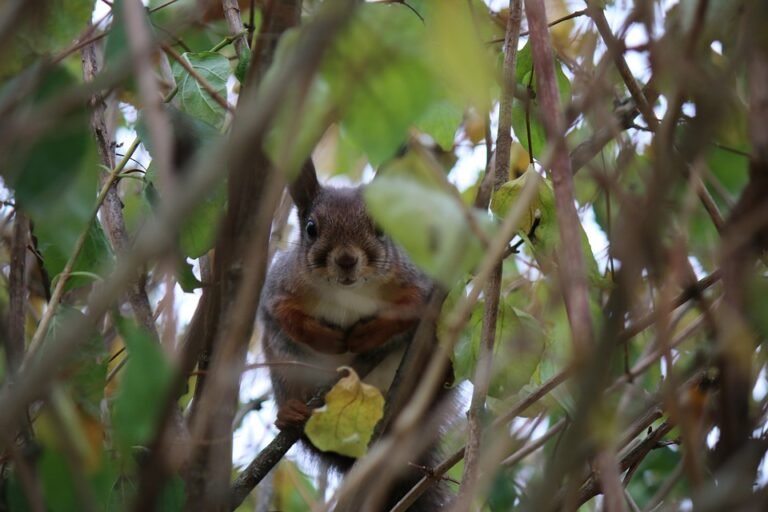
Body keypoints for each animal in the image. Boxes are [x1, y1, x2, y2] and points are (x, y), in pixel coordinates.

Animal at [260, 161, 452, 512]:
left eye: (379, 227)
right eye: (311, 228)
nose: (347, 260)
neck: (347, 291)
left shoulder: (415, 283)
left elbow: (411, 310)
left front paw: (364, 337)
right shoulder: (278, 291)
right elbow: (287, 318)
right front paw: (332, 341)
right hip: (283, 367)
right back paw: (290, 415)